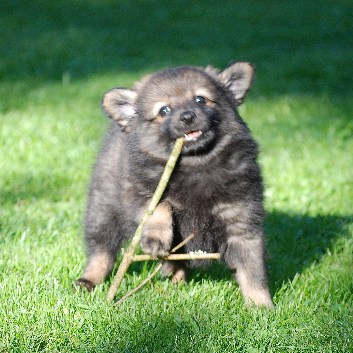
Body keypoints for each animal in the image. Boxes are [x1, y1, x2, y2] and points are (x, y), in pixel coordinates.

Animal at [75, 62, 274, 306]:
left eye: (200, 99)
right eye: (164, 111)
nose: (187, 117)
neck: (197, 164)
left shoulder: (242, 223)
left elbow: (253, 272)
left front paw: (261, 307)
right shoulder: (141, 194)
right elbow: (160, 207)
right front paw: (155, 237)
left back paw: (176, 279)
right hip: (103, 211)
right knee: (101, 251)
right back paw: (88, 280)